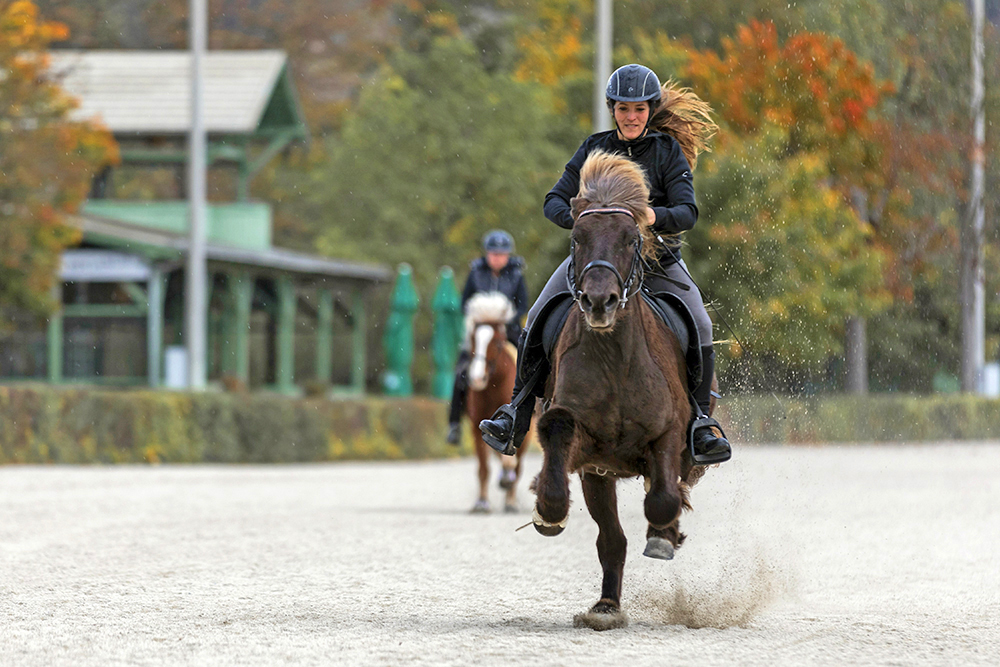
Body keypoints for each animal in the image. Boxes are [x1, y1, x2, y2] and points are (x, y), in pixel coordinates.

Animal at [466, 294, 532, 516]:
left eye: (496, 342)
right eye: (472, 339)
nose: (477, 378)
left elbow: (512, 463)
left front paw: (507, 484)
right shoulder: (477, 425)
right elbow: (483, 468)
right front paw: (481, 503)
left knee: (517, 466)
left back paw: (510, 498)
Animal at [532, 151, 712, 632]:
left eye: (632, 239)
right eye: (576, 238)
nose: (599, 302)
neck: (614, 358)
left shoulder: (669, 434)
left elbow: (664, 497)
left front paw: (665, 534)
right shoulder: (588, 453)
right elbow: (557, 431)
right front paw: (547, 508)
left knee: (666, 489)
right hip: (600, 477)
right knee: (612, 539)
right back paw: (606, 606)